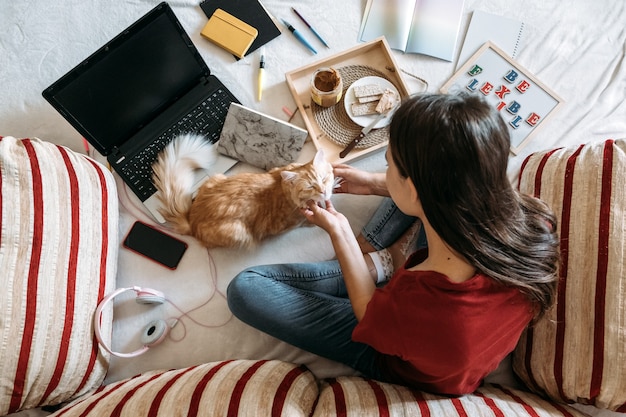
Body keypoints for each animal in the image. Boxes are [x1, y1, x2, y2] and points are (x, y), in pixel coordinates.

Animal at [152, 133, 334, 247]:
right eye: (310, 186)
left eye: (324, 178)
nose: (324, 191)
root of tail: (191, 220)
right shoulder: (284, 225)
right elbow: (303, 223)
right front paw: (312, 221)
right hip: (238, 231)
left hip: (216, 178)